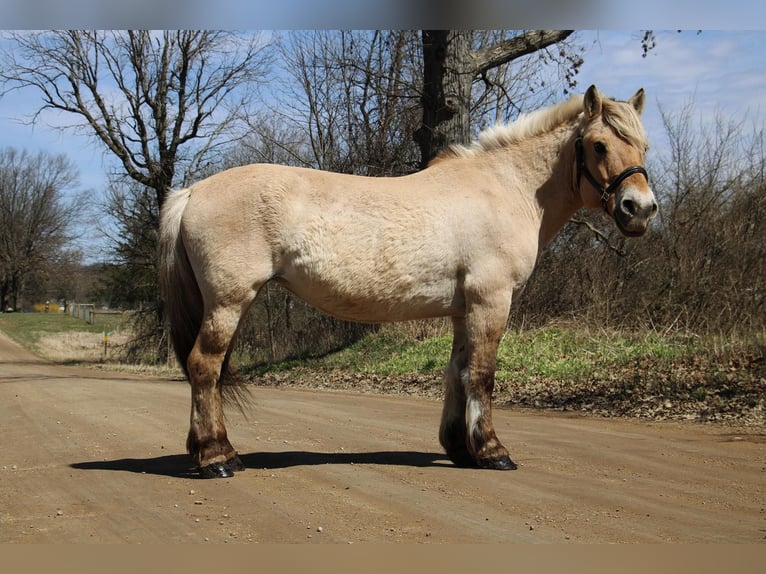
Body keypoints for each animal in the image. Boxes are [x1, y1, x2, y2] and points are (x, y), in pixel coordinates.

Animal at [159, 86, 656, 482]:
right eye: (598, 145)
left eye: (644, 147)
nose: (640, 209)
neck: (505, 189)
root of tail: (192, 192)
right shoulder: (490, 301)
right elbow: (483, 375)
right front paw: (492, 452)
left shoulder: (463, 309)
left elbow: (457, 373)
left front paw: (459, 448)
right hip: (228, 302)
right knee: (203, 366)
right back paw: (217, 458)